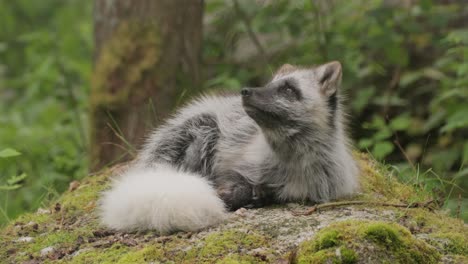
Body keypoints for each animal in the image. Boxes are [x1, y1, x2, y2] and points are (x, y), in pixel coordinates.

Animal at [100, 61, 360, 233]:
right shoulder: (232, 169)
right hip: (203, 131)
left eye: (288, 89)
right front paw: (233, 195)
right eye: (269, 83)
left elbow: (267, 192)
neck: (291, 165)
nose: (245, 91)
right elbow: (238, 186)